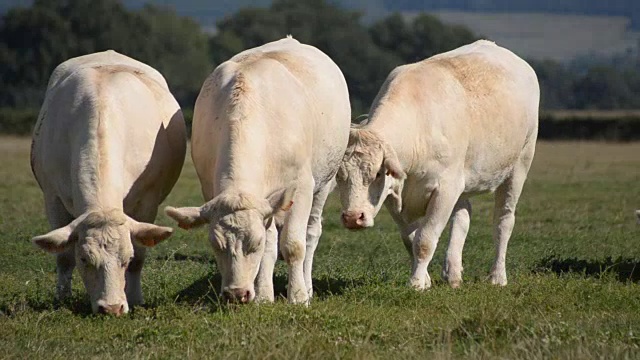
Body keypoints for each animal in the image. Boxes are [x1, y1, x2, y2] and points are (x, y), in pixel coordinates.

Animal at [31, 50, 186, 316]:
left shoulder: (148, 200)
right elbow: (64, 257)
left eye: (125, 259)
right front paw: (61, 298)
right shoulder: (52, 198)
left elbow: (140, 256)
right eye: (85, 259)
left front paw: (135, 298)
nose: (112, 308)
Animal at [162, 36, 348, 306]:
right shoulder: (220, 191)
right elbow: (270, 249)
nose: (236, 293)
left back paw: (308, 286)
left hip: (324, 182)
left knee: (311, 234)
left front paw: (298, 297)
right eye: (216, 245)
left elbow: (293, 245)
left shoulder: (301, 187)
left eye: (254, 243)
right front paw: (263, 296)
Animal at [336, 40, 540, 292]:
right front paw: (425, 279)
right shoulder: (395, 196)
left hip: (519, 165)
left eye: (376, 174)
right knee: (463, 217)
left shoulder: (445, 189)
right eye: (339, 177)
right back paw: (453, 272)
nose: (353, 218)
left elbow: (425, 240)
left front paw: (415, 283)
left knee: (503, 221)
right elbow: (410, 240)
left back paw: (497, 276)